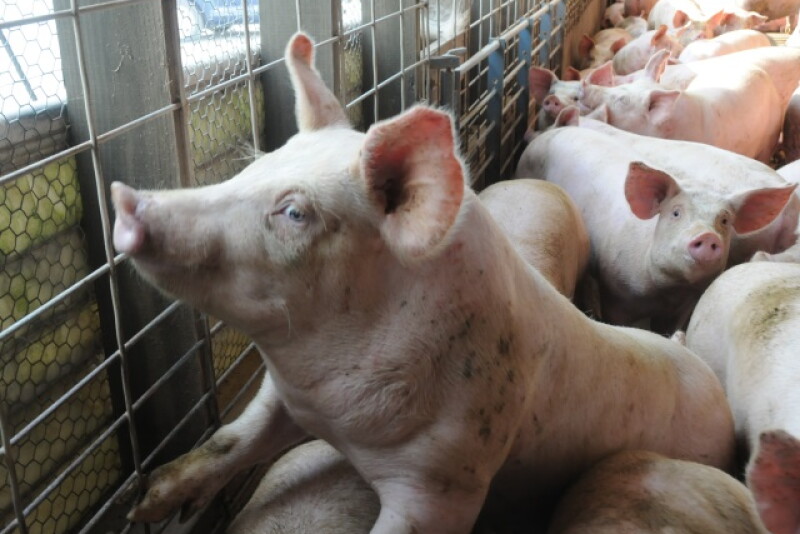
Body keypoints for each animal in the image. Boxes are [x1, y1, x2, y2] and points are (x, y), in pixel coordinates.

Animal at [117, 32, 736, 533]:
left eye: (294, 212)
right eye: (254, 166)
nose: (126, 199)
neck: (337, 413)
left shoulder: (449, 478)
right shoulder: (286, 395)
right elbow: (230, 441)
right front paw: (145, 504)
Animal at [515, 120, 797, 327]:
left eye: (724, 220)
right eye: (675, 213)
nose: (707, 236)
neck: (666, 292)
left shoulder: (683, 306)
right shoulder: (615, 294)